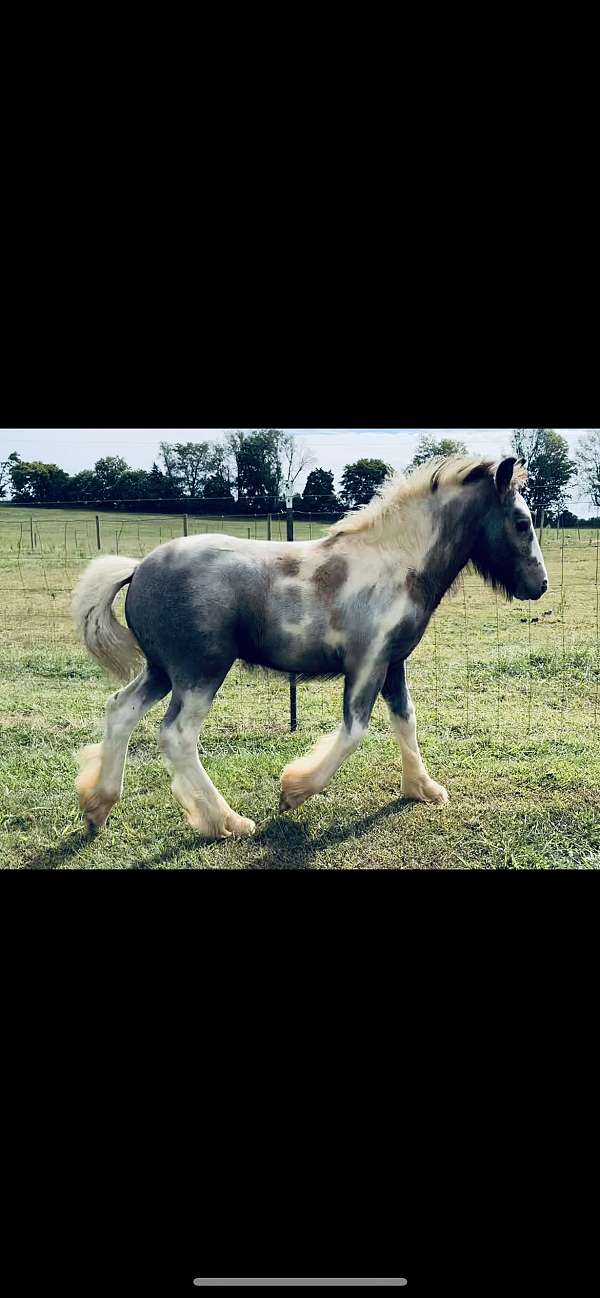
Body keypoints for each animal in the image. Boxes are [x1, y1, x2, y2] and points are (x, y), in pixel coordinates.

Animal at [71, 456, 548, 841]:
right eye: (522, 522)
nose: (539, 585)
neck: (395, 565)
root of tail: (138, 567)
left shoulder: (392, 663)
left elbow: (405, 719)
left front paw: (423, 790)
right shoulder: (367, 663)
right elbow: (355, 730)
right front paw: (293, 791)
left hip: (160, 670)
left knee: (121, 710)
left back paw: (98, 807)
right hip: (200, 672)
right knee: (177, 735)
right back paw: (227, 822)